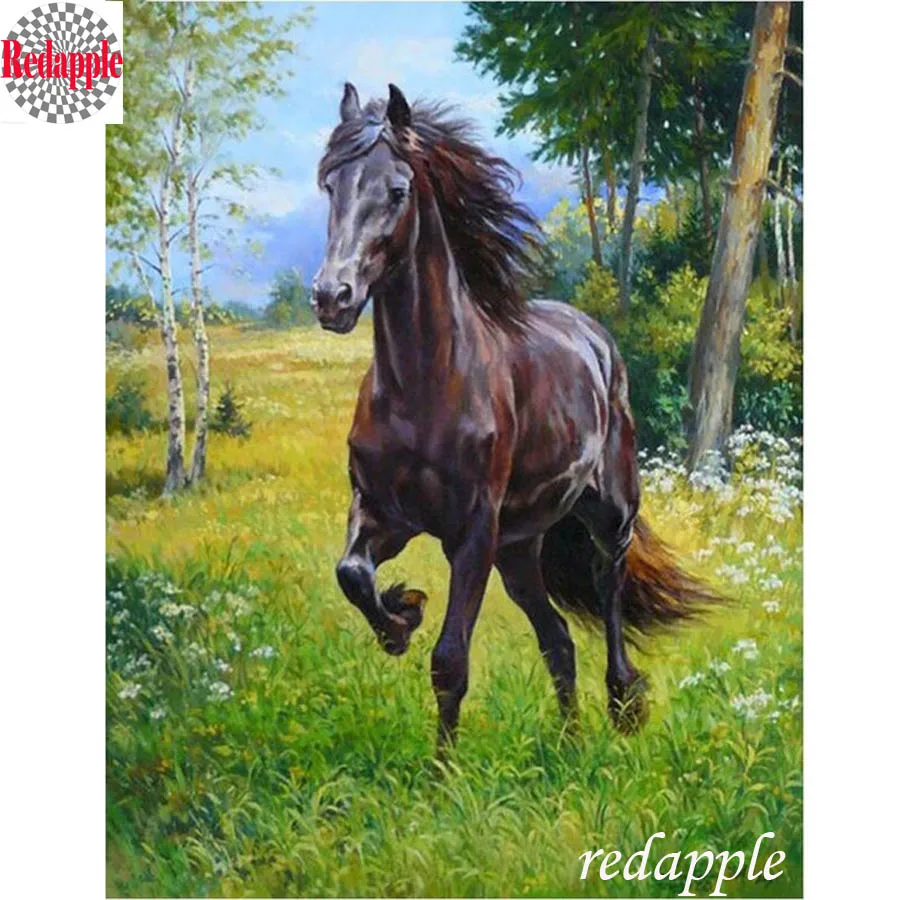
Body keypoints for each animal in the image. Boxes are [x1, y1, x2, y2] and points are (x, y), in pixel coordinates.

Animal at [311, 83, 717, 753]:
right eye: (330, 186)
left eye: (396, 191)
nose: (331, 297)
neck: (425, 386)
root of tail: (594, 338)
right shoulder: (381, 512)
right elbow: (352, 575)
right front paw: (402, 614)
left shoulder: (472, 533)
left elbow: (450, 661)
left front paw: (442, 772)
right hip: (521, 550)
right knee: (557, 640)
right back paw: (571, 744)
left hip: (606, 514)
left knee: (608, 590)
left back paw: (623, 705)